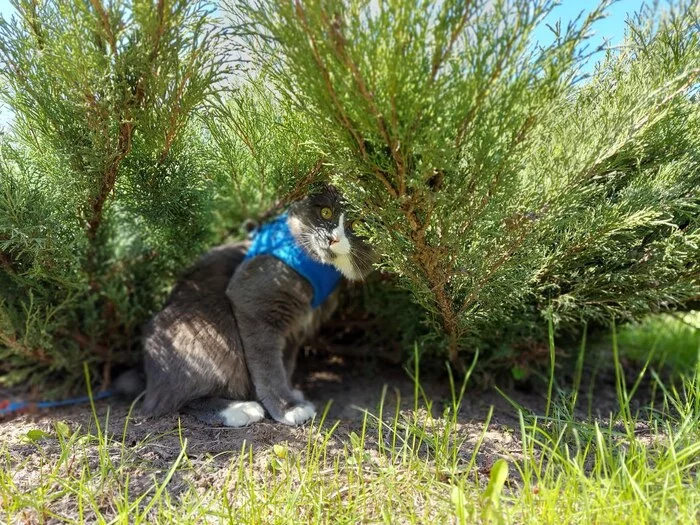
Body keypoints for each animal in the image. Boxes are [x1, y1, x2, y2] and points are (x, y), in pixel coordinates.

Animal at [139, 184, 374, 426]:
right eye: (326, 212)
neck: (323, 268)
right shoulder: (254, 303)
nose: (332, 238)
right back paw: (239, 409)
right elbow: (269, 366)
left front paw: (289, 394)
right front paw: (288, 408)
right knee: (175, 401)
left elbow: (285, 363)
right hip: (207, 336)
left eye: (357, 224)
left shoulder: (294, 327)